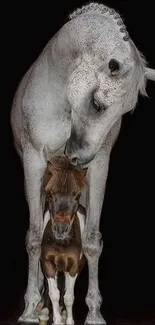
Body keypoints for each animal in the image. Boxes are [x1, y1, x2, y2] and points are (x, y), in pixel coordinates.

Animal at [10, 2, 154, 324]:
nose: (78, 158)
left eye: (124, 113)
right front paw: (29, 309)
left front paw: (93, 314)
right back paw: (40, 304)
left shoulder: (98, 167)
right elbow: (35, 237)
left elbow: (90, 240)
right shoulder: (34, 162)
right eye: (98, 105)